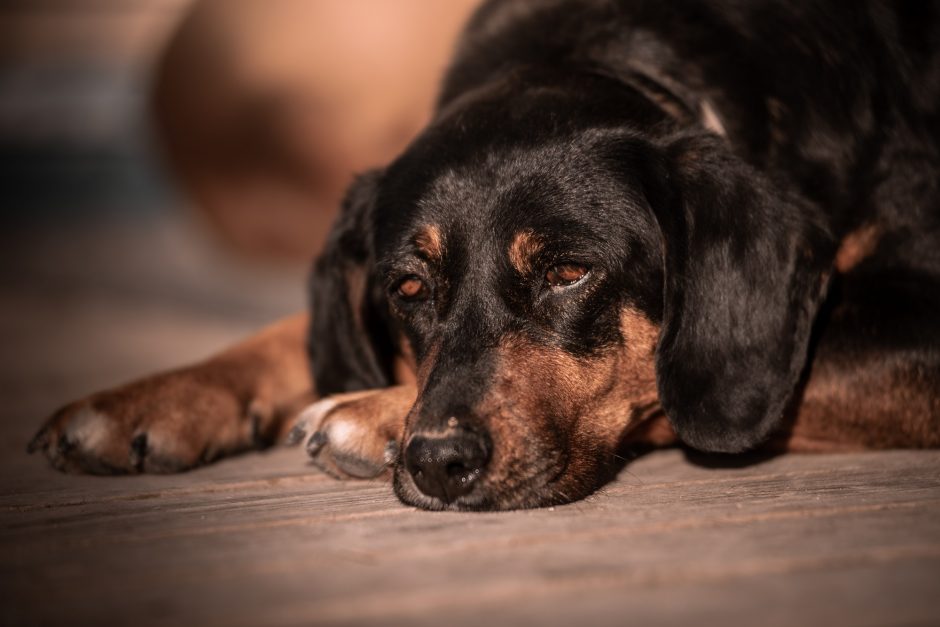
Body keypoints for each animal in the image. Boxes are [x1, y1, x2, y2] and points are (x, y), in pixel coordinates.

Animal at [27, 0, 940, 510]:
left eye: (569, 272)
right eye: (406, 287)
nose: (437, 461)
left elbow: (668, 391)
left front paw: (370, 412)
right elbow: (284, 331)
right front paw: (150, 399)